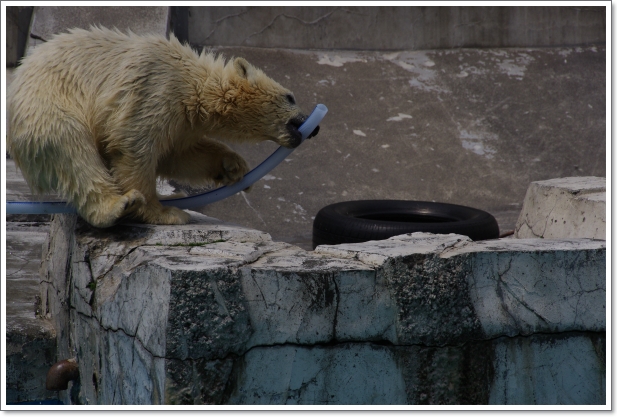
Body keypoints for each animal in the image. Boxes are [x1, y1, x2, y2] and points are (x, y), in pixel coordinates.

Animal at [7, 26, 318, 228]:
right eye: (290, 96)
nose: (311, 126)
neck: (195, 84)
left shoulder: (182, 121)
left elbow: (177, 155)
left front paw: (233, 166)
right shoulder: (155, 88)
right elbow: (134, 147)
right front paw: (165, 214)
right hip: (47, 105)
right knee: (73, 150)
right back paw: (116, 206)